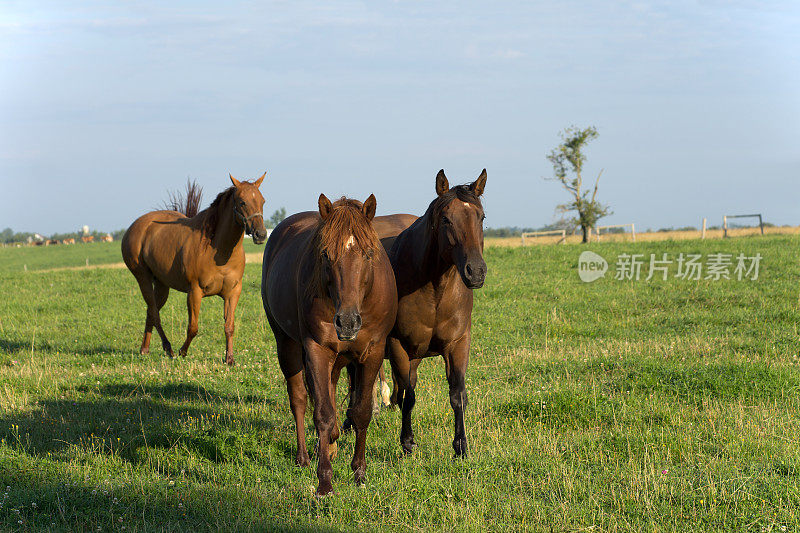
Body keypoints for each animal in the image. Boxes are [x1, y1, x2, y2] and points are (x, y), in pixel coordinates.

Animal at [120, 175, 268, 366]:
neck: (217, 250)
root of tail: (136, 226)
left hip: (161, 284)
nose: (261, 234)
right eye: (242, 202)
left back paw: (144, 349)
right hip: (143, 278)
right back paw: (168, 348)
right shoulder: (194, 292)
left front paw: (229, 359)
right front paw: (182, 352)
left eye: (262, 201)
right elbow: (193, 327)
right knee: (154, 312)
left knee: (151, 312)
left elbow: (229, 326)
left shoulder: (232, 293)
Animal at [262, 193, 396, 496]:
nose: (346, 322)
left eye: (368, 254)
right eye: (325, 254)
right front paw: (325, 482)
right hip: (286, 344)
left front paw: (359, 472)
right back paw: (303, 456)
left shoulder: (373, 352)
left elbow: (361, 412)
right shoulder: (316, 350)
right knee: (299, 399)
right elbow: (322, 412)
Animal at [346, 168, 490, 456]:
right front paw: (407, 442)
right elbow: (410, 397)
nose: (476, 272)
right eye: (446, 219)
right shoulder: (399, 346)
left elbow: (457, 394)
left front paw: (461, 446)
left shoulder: (458, 344)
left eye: (481, 217)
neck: (435, 289)